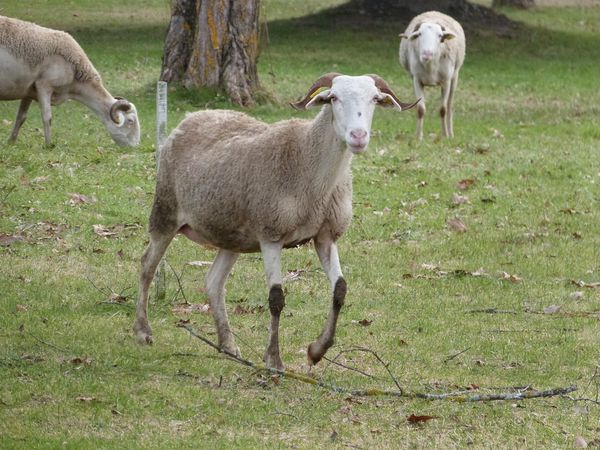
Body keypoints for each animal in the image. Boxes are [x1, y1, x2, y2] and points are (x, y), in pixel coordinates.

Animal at [0, 14, 139, 146]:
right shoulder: (44, 85)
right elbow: (47, 117)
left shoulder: (28, 90)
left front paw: (11, 142)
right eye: (130, 121)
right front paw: (48, 145)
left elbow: (21, 117)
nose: (136, 146)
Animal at [134, 73, 418, 370]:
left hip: (232, 235)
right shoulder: (270, 234)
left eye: (374, 98)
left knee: (213, 283)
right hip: (165, 210)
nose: (358, 136)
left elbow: (340, 289)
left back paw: (228, 346)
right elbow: (276, 298)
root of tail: (192, 117)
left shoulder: (325, 235)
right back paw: (143, 332)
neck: (307, 165)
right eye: (333, 98)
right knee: (147, 266)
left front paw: (316, 351)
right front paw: (274, 360)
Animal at [400, 11, 466, 141]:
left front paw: (445, 135)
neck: (430, 66)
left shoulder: (446, 81)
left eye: (440, 36)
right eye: (419, 34)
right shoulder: (416, 80)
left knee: (449, 106)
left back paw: (451, 133)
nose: (427, 54)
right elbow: (420, 109)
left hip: (455, 77)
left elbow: (443, 110)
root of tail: (434, 12)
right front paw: (418, 136)